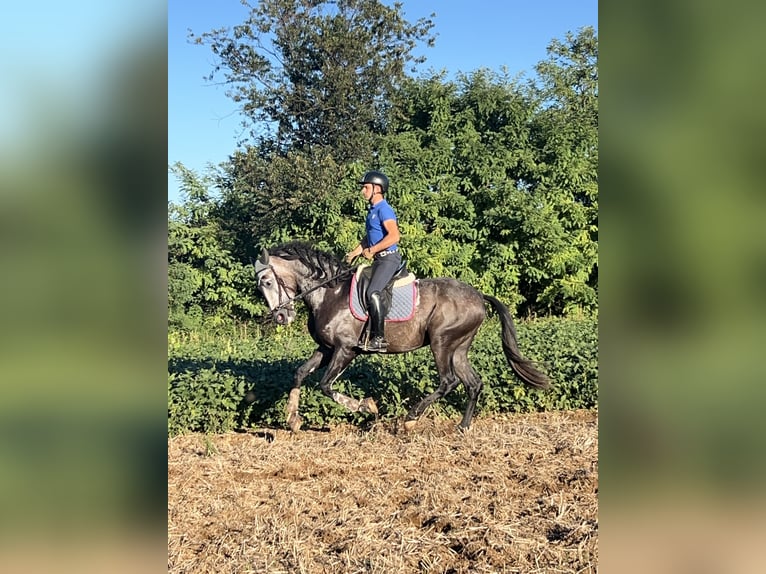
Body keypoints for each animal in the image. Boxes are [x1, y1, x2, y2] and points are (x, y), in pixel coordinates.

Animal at [254, 241, 550, 432]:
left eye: (267, 282)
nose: (280, 317)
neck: (329, 293)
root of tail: (478, 296)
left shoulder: (345, 350)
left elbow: (325, 386)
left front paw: (368, 407)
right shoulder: (326, 349)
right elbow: (299, 373)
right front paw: (293, 419)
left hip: (441, 343)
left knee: (449, 382)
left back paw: (411, 418)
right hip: (458, 348)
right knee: (473, 384)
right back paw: (462, 427)